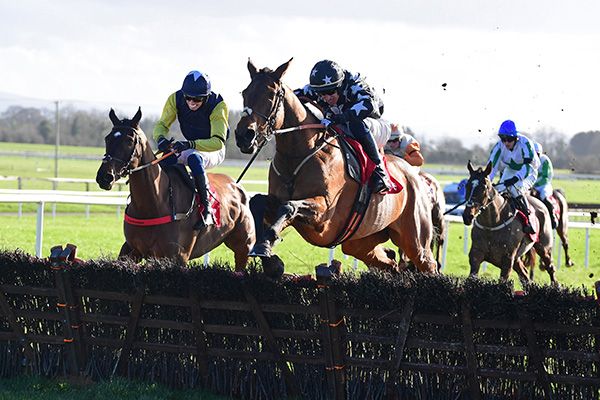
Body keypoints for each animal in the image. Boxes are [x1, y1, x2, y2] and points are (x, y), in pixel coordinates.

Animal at [95, 108, 254, 270]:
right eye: (107, 138)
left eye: (129, 140)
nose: (105, 177)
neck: (156, 203)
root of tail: (236, 185)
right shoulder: (131, 250)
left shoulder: (178, 257)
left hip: (243, 247)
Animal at [233, 57, 436, 274]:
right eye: (245, 92)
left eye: (271, 95)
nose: (244, 136)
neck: (298, 154)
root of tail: (414, 175)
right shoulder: (278, 202)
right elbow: (259, 202)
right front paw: (269, 257)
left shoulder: (323, 214)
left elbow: (289, 206)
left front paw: (265, 245)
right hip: (360, 242)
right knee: (389, 263)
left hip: (415, 239)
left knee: (428, 263)